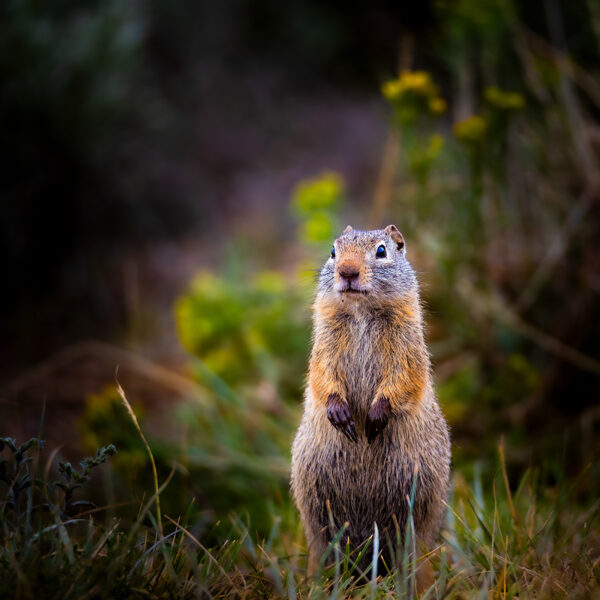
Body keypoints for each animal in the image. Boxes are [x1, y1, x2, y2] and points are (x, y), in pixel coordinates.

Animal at [290, 223, 450, 584]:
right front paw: (340, 414)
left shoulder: (408, 350)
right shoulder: (323, 349)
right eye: (333, 251)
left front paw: (376, 418)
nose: (347, 271)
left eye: (381, 250)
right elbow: (321, 378)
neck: (361, 311)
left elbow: (403, 380)